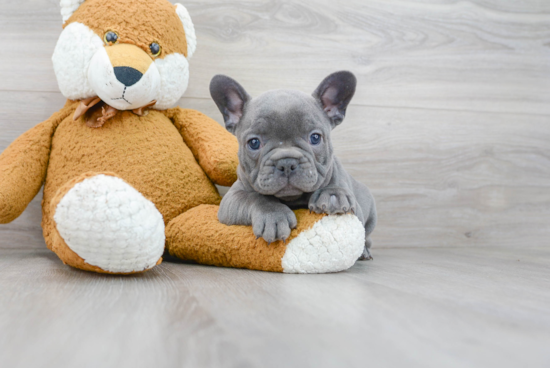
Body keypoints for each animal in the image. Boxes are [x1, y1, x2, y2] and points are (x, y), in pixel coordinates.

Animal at [211, 69, 380, 258]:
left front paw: (333, 194)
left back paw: (364, 252)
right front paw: (274, 216)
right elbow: (254, 197)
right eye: (254, 143)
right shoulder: (231, 199)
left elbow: (337, 187)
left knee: (366, 237)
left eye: (315, 138)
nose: (286, 163)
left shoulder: (353, 205)